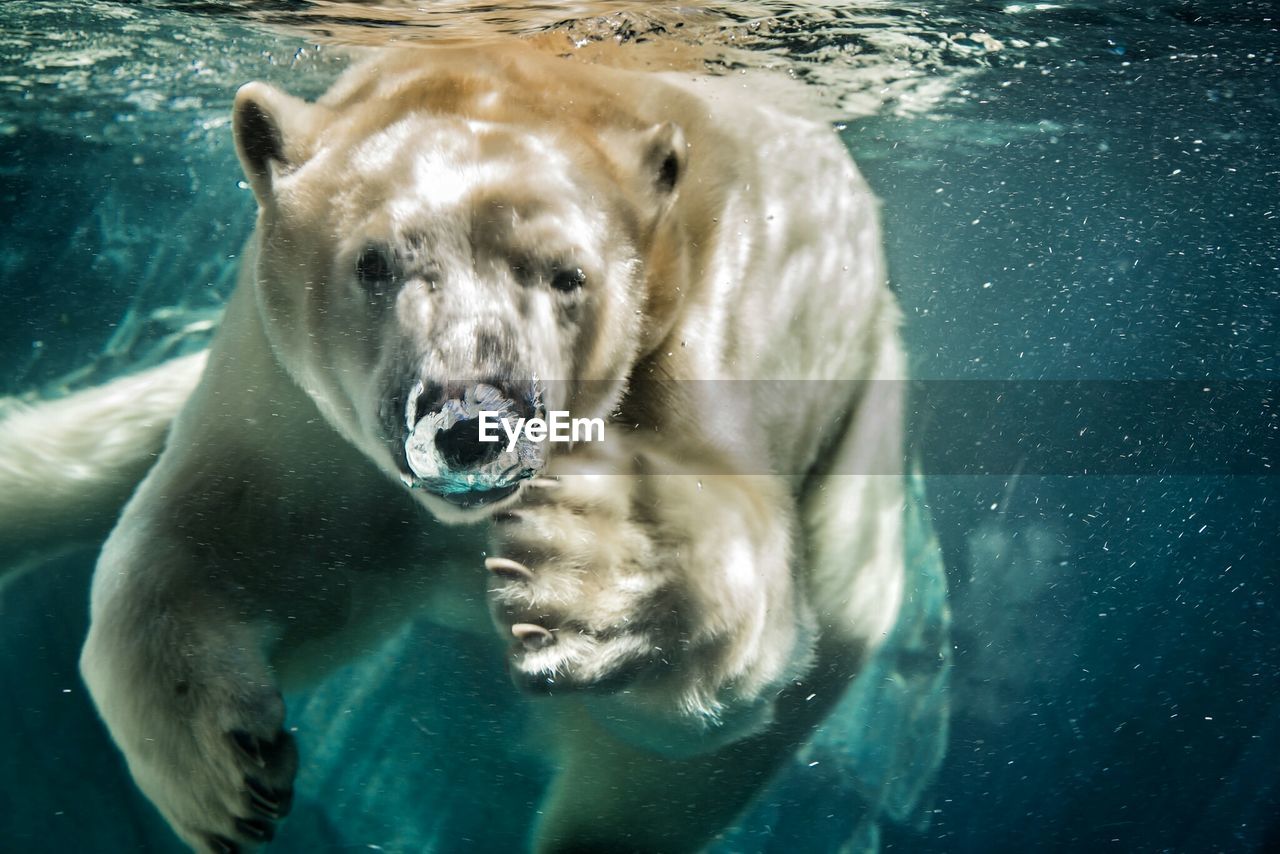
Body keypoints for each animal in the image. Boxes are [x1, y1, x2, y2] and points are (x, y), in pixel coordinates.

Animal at [10, 43, 911, 854]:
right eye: (374, 262)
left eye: (568, 275)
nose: (474, 424)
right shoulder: (289, 400)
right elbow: (234, 537)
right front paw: (227, 774)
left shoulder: (707, 320)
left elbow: (729, 621)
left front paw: (575, 572)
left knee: (645, 795)